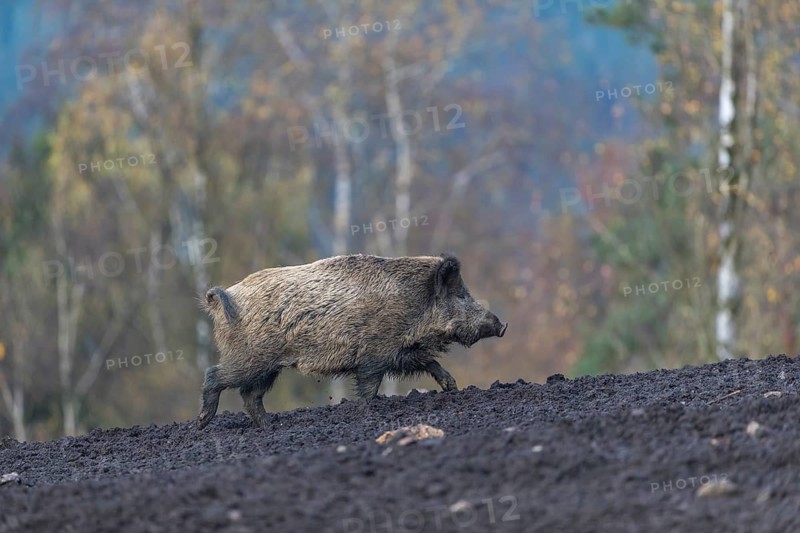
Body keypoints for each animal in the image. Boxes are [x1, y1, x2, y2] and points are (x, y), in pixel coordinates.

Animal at [197, 253, 507, 429]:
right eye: (461, 296)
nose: (502, 325)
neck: (413, 305)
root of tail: (222, 298)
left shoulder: (399, 352)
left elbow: (428, 361)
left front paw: (452, 387)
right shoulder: (374, 356)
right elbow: (370, 388)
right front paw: (369, 408)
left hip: (269, 367)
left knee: (250, 395)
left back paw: (271, 427)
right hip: (251, 358)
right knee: (215, 375)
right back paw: (202, 424)